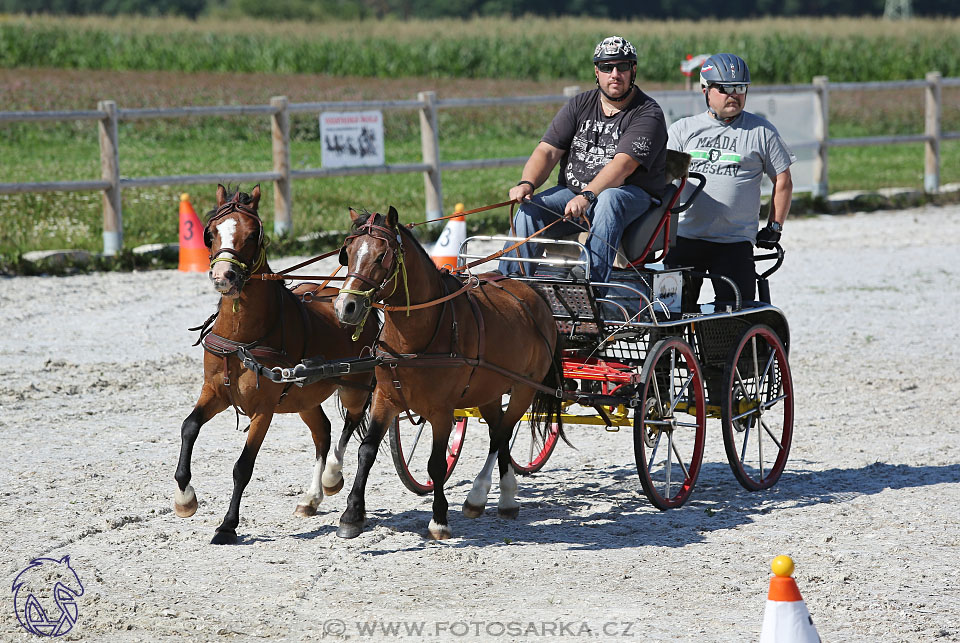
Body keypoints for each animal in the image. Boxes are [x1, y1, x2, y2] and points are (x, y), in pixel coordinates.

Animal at [336, 209, 564, 540]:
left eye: (381, 256)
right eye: (349, 253)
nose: (346, 306)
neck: (416, 338)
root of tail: (533, 294)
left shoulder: (442, 411)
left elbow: (436, 464)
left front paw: (439, 519)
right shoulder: (385, 398)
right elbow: (366, 451)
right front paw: (352, 514)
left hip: (524, 389)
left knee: (503, 432)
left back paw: (480, 496)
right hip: (489, 391)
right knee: (498, 431)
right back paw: (504, 498)